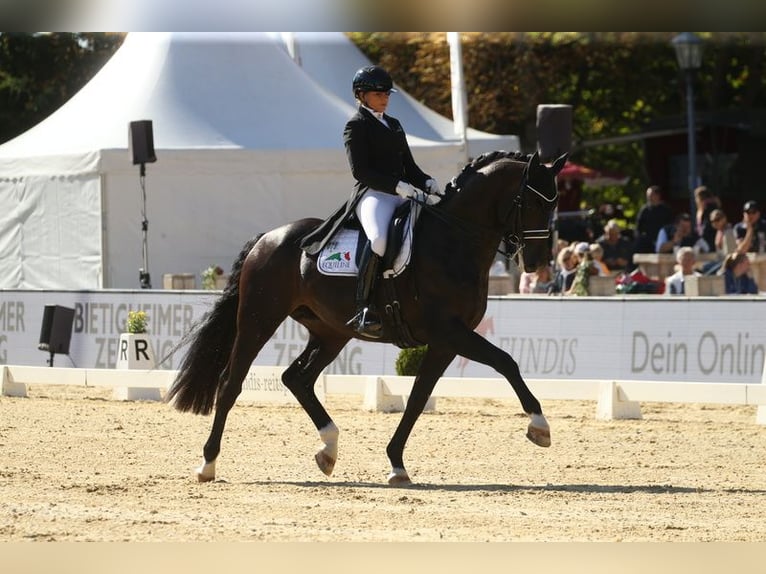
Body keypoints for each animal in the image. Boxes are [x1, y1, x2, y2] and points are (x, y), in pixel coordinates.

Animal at [165, 148, 568, 486]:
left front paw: (397, 464)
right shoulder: (450, 331)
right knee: (230, 383)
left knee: (297, 378)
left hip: (330, 331)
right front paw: (540, 426)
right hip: (258, 319)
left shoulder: (445, 341)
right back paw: (207, 464)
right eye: (533, 201)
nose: (536, 264)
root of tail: (268, 237)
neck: (453, 241)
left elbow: (419, 397)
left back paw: (328, 450)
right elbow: (506, 362)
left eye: (554, 204)